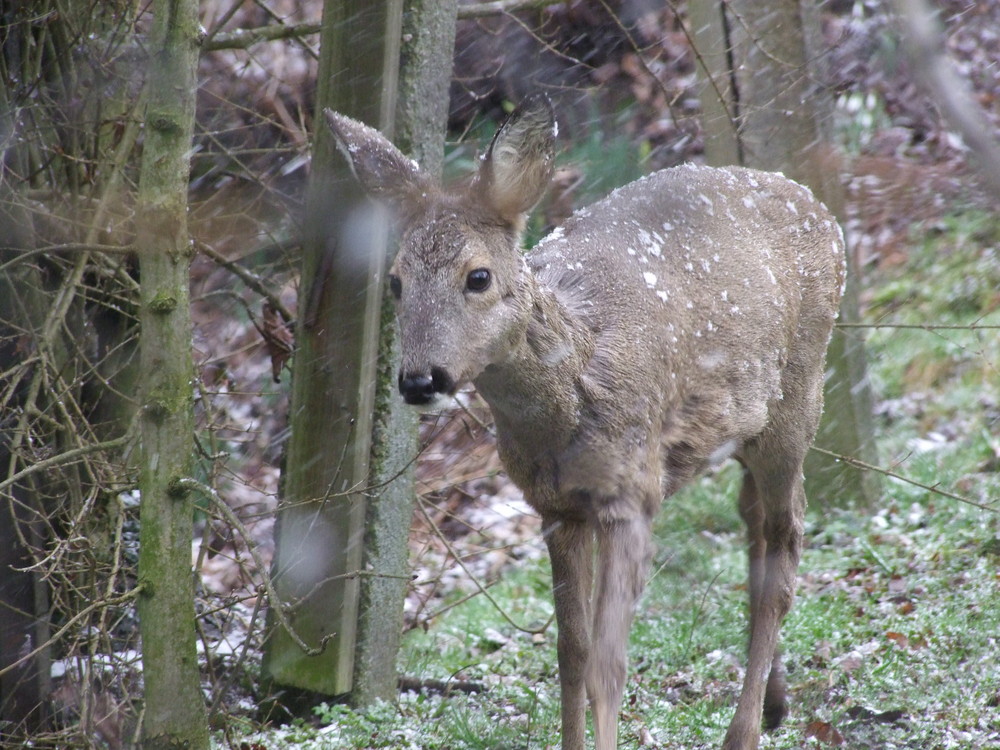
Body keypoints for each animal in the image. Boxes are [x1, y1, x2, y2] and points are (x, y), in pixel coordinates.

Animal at [326, 97, 844, 750]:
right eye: (394, 282)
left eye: (478, 276)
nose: (421, 380)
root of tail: (817, 206)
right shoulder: (557, 508)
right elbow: (571, 654)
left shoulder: (633, 491)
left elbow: (608, 661)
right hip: (744, 428)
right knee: (757, 524)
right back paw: (775, 704)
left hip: (799, 398)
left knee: (786, 542)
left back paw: (744, 731)